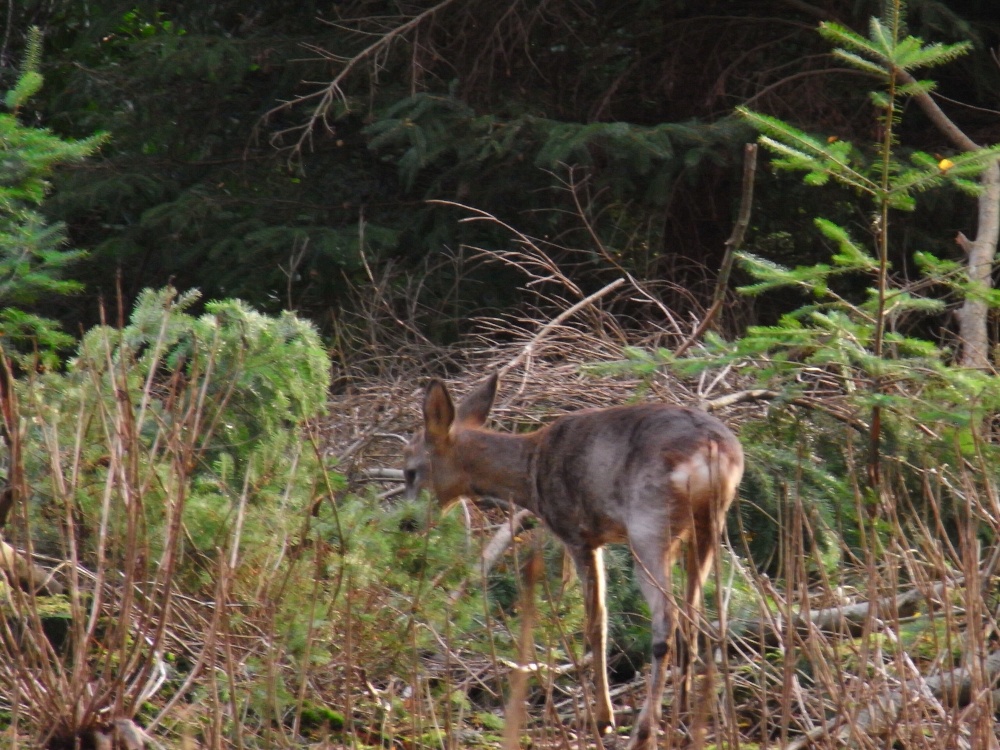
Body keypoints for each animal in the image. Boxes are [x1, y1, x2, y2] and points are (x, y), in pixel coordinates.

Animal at [403, 372, 744, 749]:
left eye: (410, 471)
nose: (407, 522)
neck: (531, 469)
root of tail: (712, 450)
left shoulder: (578, 533)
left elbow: (596, 622)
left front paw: (604, 719)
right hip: (708, 526)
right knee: (693, 619)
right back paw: (683, 718)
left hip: (650, 524)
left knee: (666, 625)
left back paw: (642, 732)